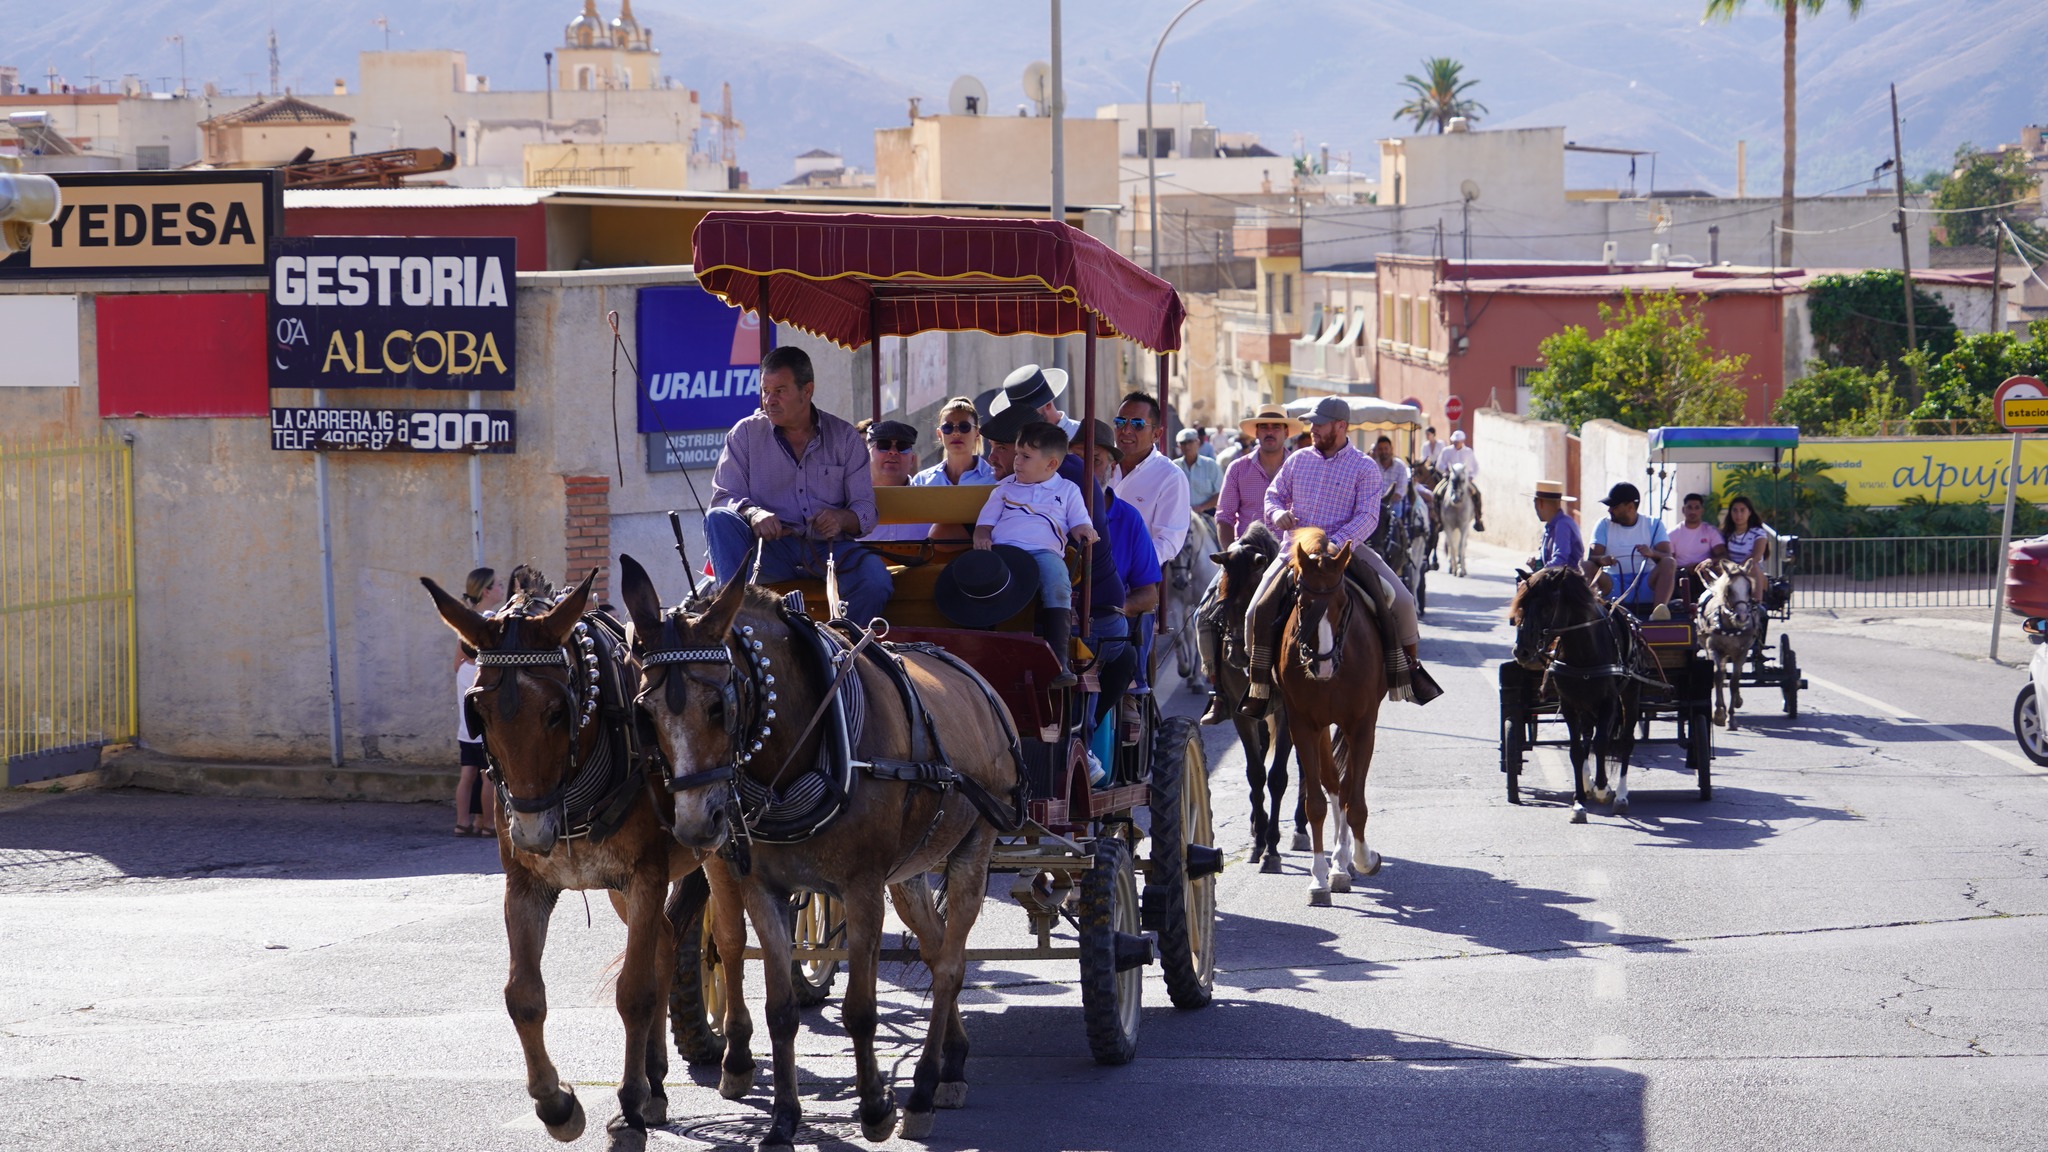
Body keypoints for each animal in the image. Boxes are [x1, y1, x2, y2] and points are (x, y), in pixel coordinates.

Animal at [423, 569, 753, 1139]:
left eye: (558, 712)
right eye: (478, 712)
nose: (532, 831)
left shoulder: (646, 875)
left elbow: (634, 992)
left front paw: (628, 1104)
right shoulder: (527, 885)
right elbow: (523, 996)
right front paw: (556, 1103)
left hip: (715, 845)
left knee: (729, 942)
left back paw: (732, 1058)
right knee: (666, 940)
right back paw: (657, 1079)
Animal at [614, 557, 1015, 1147]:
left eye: (719, 706)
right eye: (645, 712)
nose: (695, 824)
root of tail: (975, 680)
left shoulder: (863, 888)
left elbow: (861, 1010)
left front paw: (875, 1107)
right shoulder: (762, 886)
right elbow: (779, 1006)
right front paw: (783, 1119)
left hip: (974, 850)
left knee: (948, 966)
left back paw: (923, 1088)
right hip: (911, 872)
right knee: (939, 946)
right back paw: (954, 1060)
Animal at [1277, 528, 1392, 906]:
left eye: (1343, 603)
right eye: (1301, 603)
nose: (1322, 666)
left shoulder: (1362, 725)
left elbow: (1356, 803)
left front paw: (1364, 859)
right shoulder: (1303, 725)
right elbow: (1316, 802)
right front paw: (1317, 880)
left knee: (1345, 786)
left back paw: (1344, 864)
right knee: (1333, 783)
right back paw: (1336, 866)